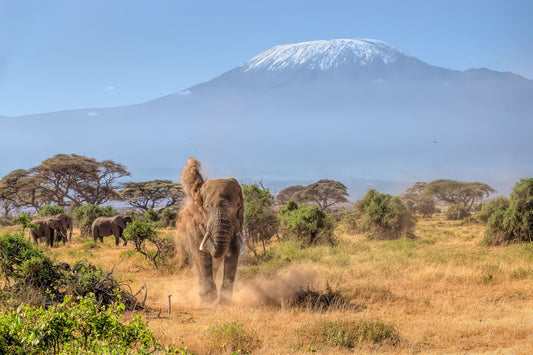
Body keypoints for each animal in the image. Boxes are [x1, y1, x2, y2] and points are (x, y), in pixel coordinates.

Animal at [177, 157, 243, 304]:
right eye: (207, 207)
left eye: (238, 206)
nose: (204, 227)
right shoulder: (197, 226)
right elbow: (202, 253)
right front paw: (209, 299)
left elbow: (234, 250)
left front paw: (224, 301)